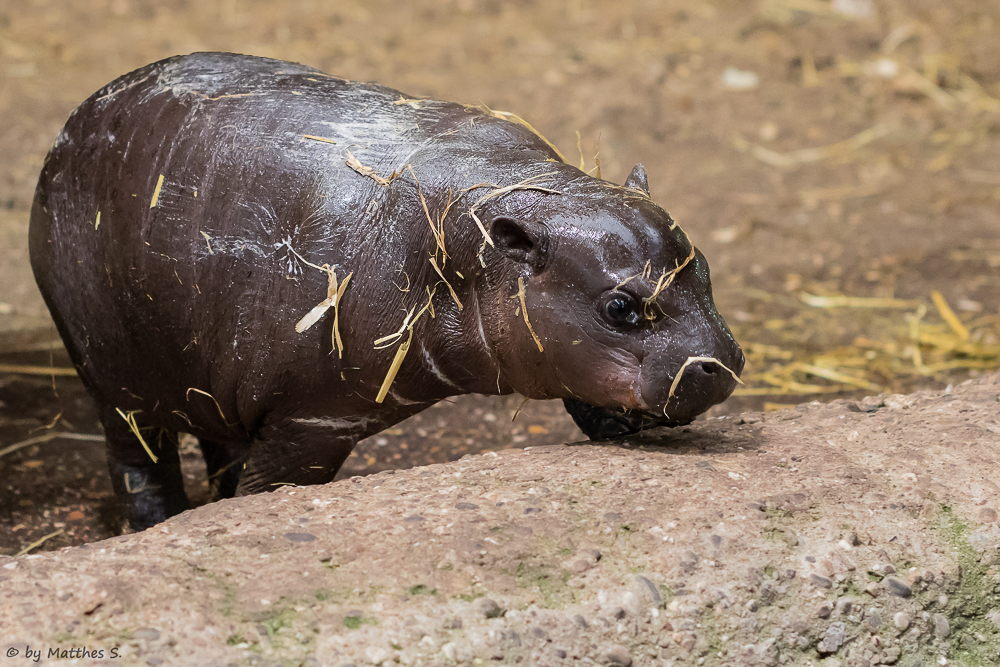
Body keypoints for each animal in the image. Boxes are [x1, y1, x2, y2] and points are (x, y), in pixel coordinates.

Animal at [31, 53, 744, 532]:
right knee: (138, 457)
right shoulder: (311, 419)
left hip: (205, 371)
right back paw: (158, 522)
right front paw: (252, 515)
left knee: (216, 436)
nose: (722, 363)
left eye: (705, 267)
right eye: (619, 307)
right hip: (113, 373)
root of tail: (80, 114)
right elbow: (272, 483)